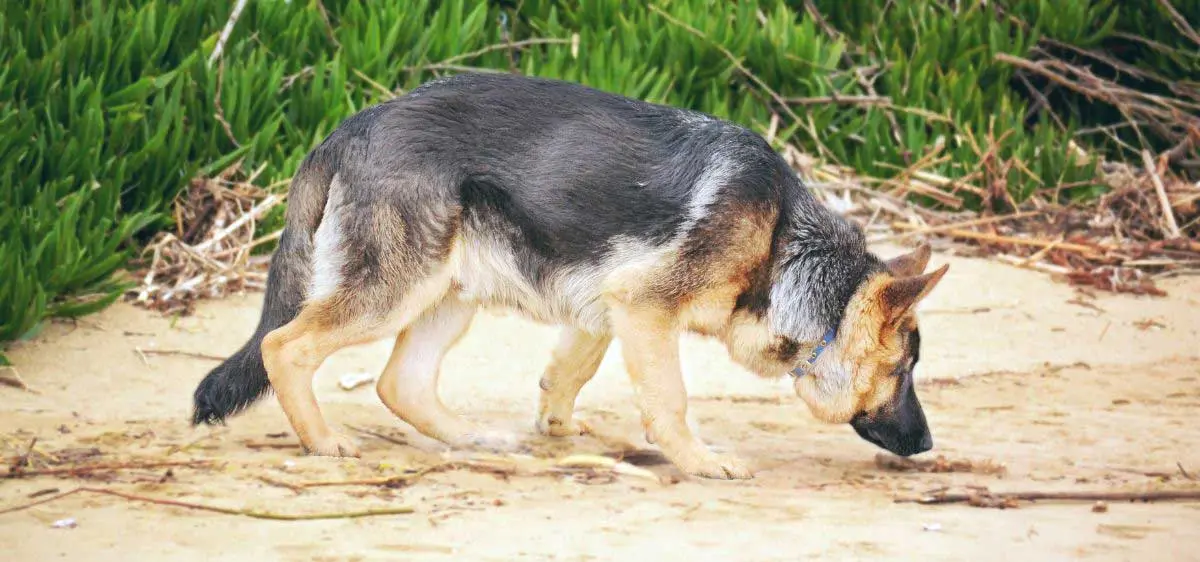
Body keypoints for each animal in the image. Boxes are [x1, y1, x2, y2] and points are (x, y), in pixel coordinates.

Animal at [194, 71, 945, 477]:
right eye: (903, 371)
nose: (929, 442)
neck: (785, 245)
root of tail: (347, 128)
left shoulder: (608, 304)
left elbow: (569, 374)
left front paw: (556, 427)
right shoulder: (644, 307)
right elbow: (670, 400)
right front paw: (699, 460)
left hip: (449, 293)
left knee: (399, 382)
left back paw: (473, 438)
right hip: (393, 292)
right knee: (283, 346)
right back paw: (323, 442)